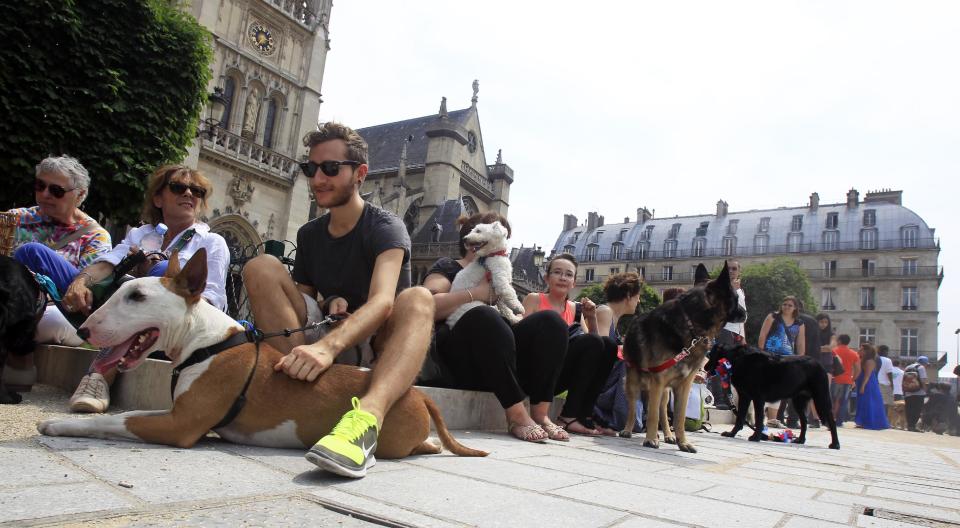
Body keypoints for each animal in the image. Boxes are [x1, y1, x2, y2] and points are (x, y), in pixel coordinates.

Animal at [620, 262, 748, 452]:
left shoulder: (683, 385)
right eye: (735, 298)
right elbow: (650, 415)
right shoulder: (658, 381)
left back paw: (668, 435)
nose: (746, 313)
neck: (691, 324)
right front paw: (650, 439)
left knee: (663, 412)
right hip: (634, 383)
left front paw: (683, 442)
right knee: (633, 409)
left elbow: (678, 417)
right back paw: (629, 430)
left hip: (665, 392)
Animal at [704, 342, 840, 450]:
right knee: (804, 421)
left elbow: (759, 420)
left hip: (821, 398)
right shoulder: (745, 397)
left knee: (831, 420)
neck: (737, 358)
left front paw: (756, 437)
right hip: (798, 401)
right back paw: (801, 440)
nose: (704, 367)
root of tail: (820, 364)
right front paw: (731, 434)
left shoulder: (758, 398)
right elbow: (740, 418)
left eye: (710, 355)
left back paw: (835, 444)